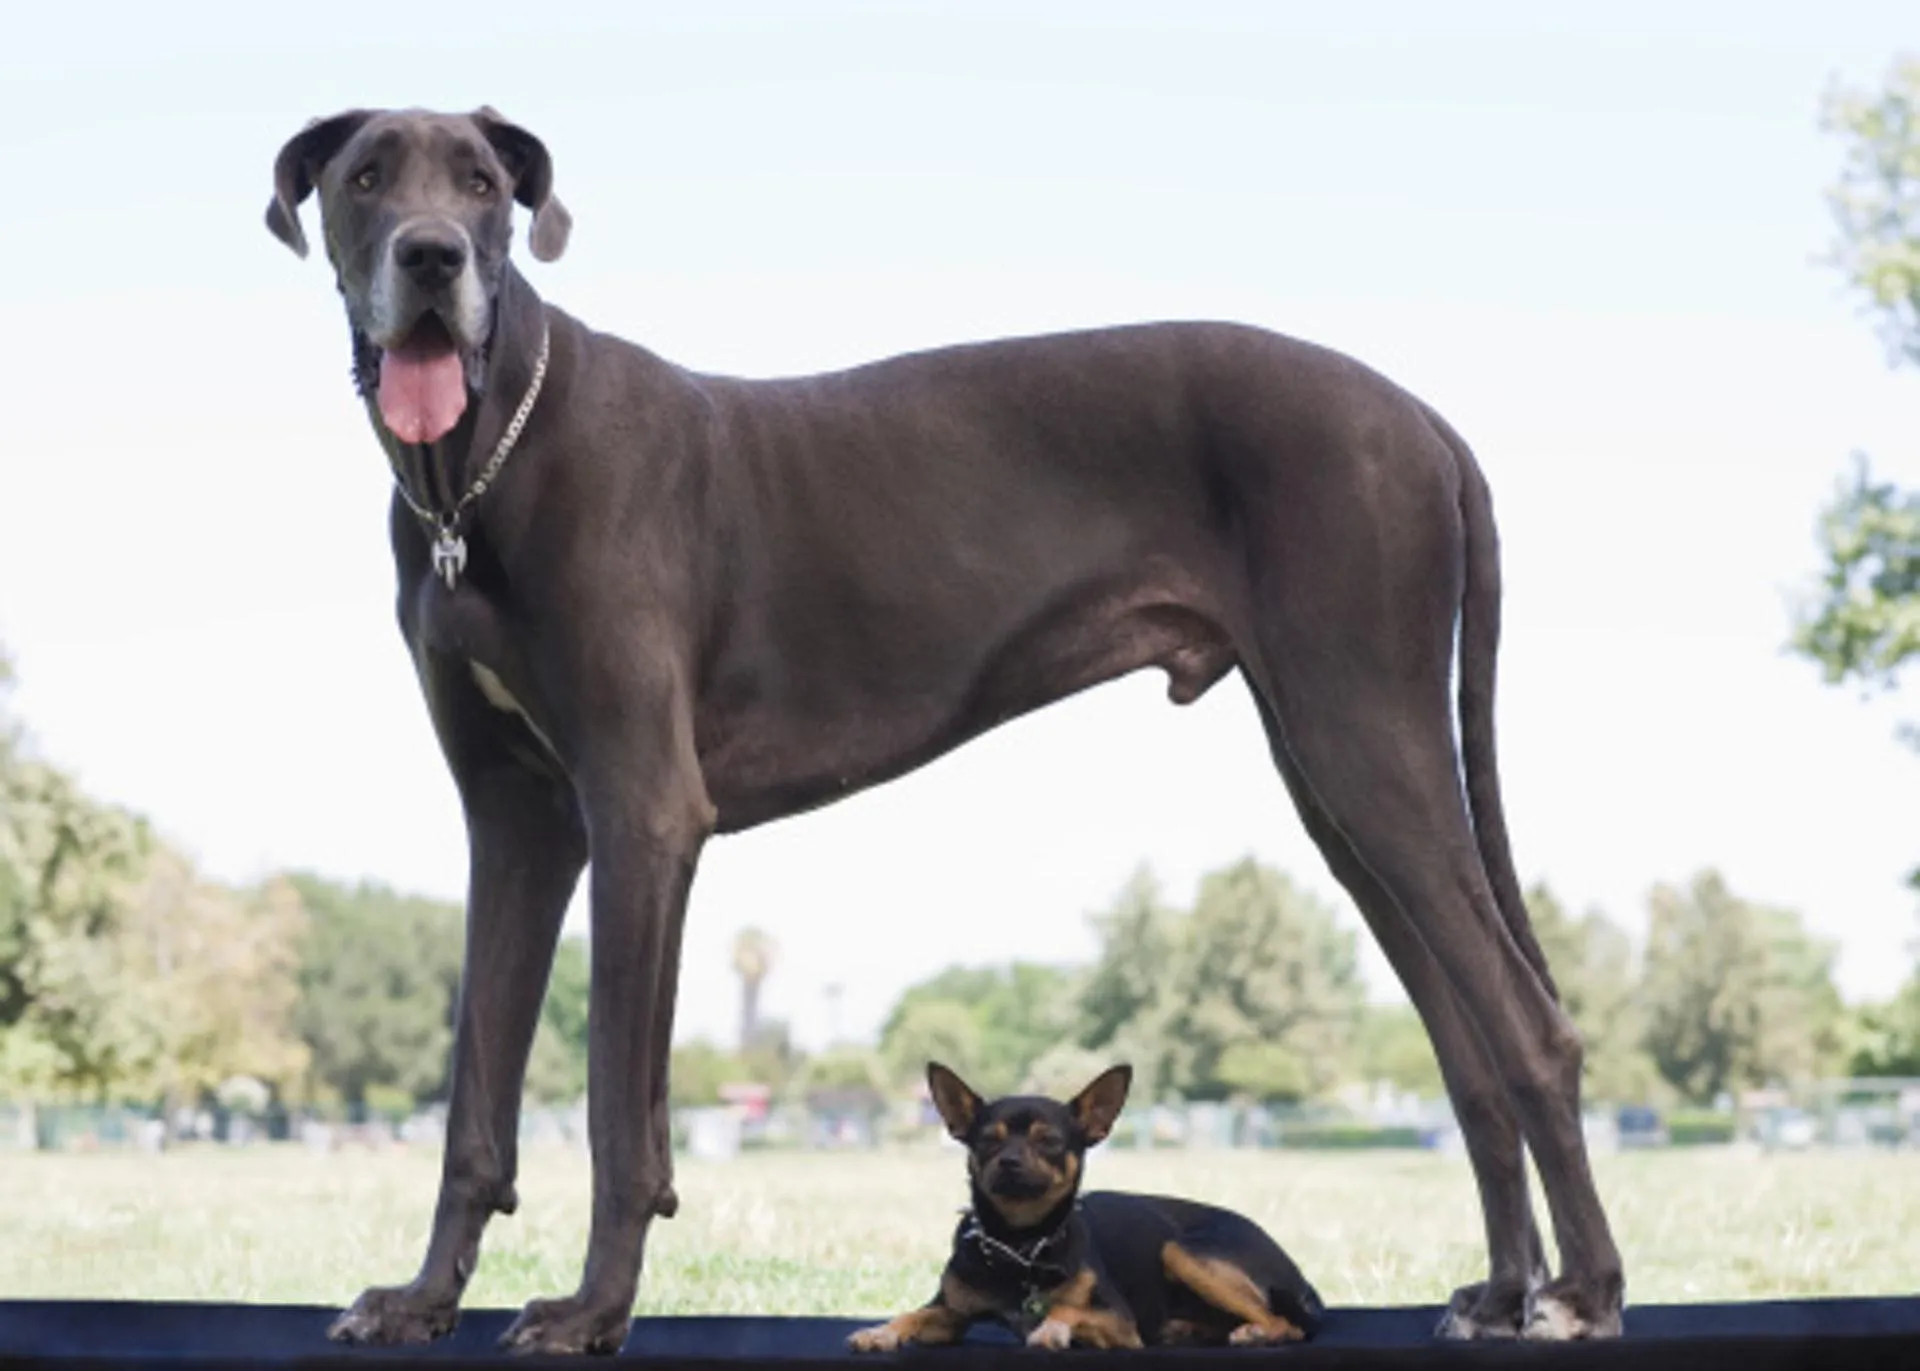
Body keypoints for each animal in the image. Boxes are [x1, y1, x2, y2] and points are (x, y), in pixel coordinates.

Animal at [852, 1059, 1320, 1344]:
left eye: (1050, 1141)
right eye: (987, 1140)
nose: (1008, 1161)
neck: (1021, 1246)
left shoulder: (1120, 1323)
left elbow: (1068, 1308)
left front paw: (1052, 1327)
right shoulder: (949, 1312)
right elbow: (912, 1316)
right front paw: (881, 1331)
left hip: (1181, 1251)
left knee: (1287, 1324)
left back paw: (1255, 1332)